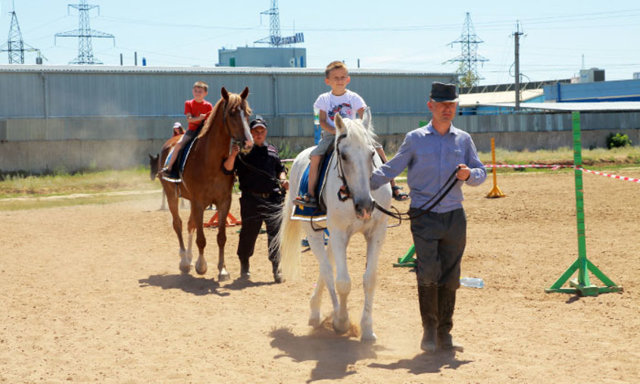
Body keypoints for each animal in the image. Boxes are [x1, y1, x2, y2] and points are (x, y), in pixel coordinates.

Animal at [159, 87, 254, 280]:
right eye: (232, 113)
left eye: (248, 113)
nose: (248, 142)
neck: (209, 159)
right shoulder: (198, 202)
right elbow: (201, 239)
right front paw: (201, 266)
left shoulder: (224, 202)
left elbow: (221, 237)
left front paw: (222, 269)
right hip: (172, 196)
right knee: (178, 224)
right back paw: (184, 261)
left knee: (190, 225)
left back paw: (188, 258)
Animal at [278, 111, 392, 342]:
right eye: (344, 156)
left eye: (371, 153)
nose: (365, 205)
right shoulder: (339, 233)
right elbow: (343, 282)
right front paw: (342, 322)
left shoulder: (377, 232)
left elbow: (370, 279)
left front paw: (367, 329)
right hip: (313, 232)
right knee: (327, 270)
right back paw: (323, 315)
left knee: (327, 265)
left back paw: (316, 310)